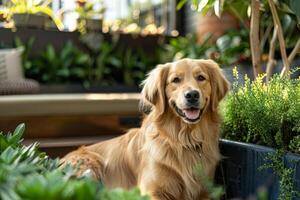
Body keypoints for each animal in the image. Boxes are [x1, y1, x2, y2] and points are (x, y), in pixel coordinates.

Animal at [62, 58, 229, 199]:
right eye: (175, 80)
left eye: (201, 78)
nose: (192, 95)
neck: (183, 140)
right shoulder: (152, 190)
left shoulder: (206, 191)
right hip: (89, 165)